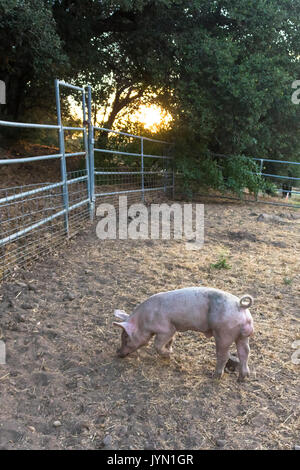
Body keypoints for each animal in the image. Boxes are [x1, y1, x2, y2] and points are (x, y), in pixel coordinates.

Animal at [113, 286, 254, 382]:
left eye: (126, 337)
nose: (118, 353)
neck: (145, 321)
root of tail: (240, 306)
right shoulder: (174, 328)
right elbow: (171, 340)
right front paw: (169, 352)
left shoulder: (166, 329)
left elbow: (157, 345)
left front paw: (168, 354)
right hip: (242, 336)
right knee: (245, 352)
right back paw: (242, 378)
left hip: (224, 334)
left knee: (224, 355)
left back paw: (215, 376)